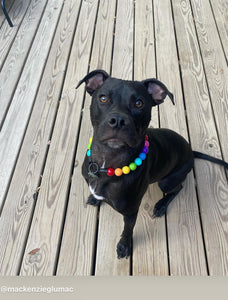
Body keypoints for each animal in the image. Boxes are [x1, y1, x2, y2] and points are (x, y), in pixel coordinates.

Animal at [76, 69, 228, 258]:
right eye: (103, 98)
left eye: (139, 103)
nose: (118, 121)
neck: (107, 160)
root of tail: (190, 152)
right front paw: (95, 198)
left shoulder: (130, 212)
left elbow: (127, 230)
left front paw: (124, 246)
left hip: (166, 181)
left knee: (178, 188)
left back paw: (161, 205)